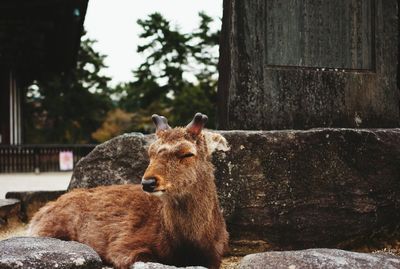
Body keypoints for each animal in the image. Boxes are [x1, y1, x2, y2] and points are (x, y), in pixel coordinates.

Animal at [28, 112, 228, 268]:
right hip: (46, 230)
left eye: (187, 153)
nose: (148, 182)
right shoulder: (123, 244)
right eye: (150, 152)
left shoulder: (217, 255)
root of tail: (38, 213)